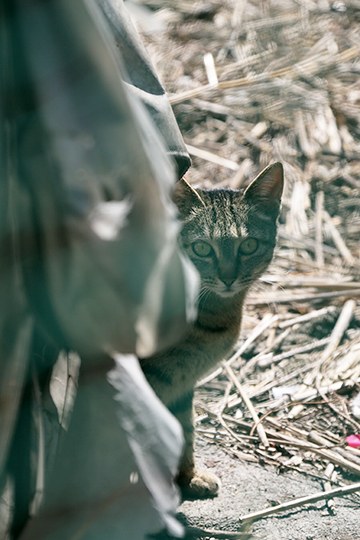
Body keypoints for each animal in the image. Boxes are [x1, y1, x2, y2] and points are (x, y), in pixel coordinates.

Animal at [141, 162, 284, 500]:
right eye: (202, 248)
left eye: (248, 245)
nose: (228, 278)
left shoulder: (180, 382)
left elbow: (184, 430)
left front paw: (188, 476)